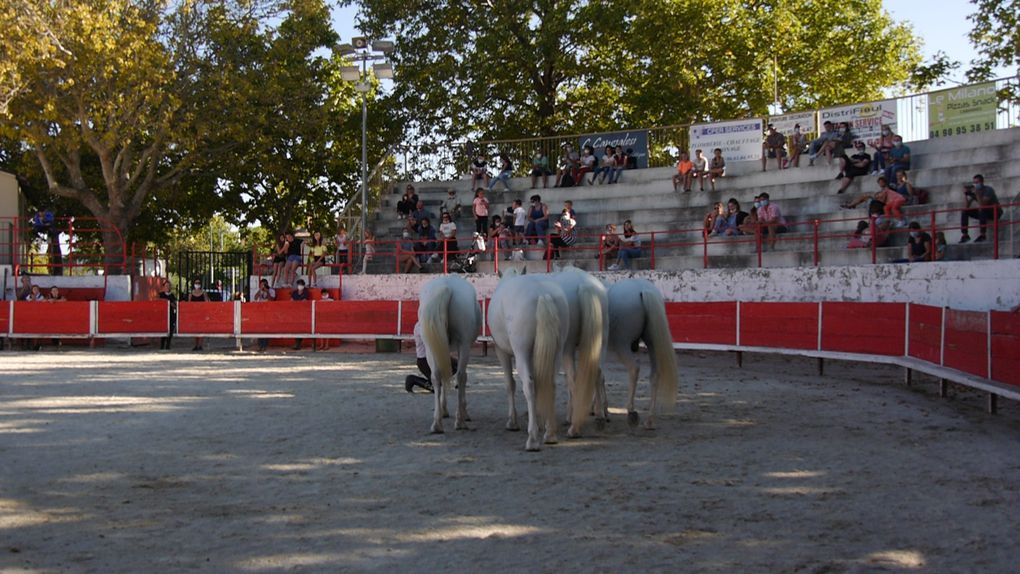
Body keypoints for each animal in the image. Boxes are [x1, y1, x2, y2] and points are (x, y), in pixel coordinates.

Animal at [418, 275, 481, 434]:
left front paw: (444, 410)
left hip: (430, 346)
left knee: (436, 376)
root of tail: (446, 286)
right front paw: (464, 413)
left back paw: (437, 424)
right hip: (464, 345)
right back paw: (460, 422)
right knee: (461, 376)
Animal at [487, 271, 571, 450]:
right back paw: (550, 433)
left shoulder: (501, 351)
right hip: (556, 351)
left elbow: (509, 384)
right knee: (550, 384)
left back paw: (532, 439)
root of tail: (542, 294)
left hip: (521, 353)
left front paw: (512, 422)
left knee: (529, 385)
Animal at [546, 267, 607, 438]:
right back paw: (600, 415)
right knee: (597, 373)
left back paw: (575, 427)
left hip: (568, 348)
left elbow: (569, 380)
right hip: (600, 342)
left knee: (574, 379)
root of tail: (584, 285)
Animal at [599, 275, 681, 428]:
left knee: (634, 368)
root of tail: (643, 289)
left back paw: (631, 411)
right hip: (652, 342)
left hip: (622, 345)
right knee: (655, 374)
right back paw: (649, 419)